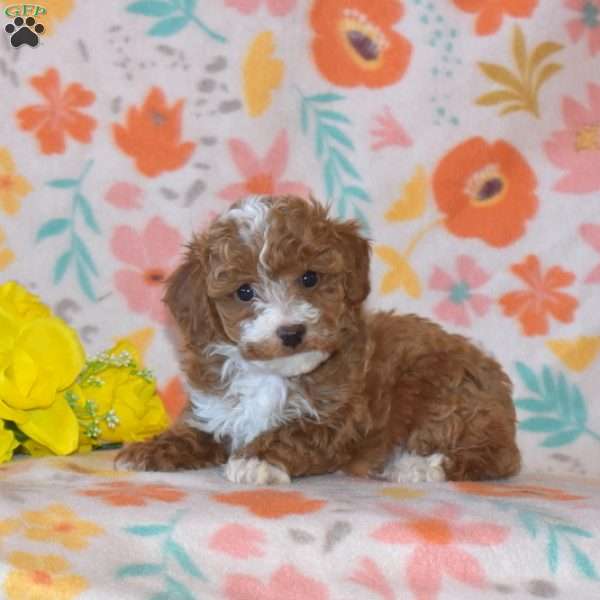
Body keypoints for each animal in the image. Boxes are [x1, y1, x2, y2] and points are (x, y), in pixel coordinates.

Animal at [117, 195, 520, 486]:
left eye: (309, 278)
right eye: (244, 292)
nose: (292, 332)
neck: (271, 373)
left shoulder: (338, 417)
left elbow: (294, 433)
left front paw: (255, 461)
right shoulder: (217, 410)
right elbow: (197, 432)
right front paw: (148, 450)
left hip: (444, 389)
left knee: (492, 457)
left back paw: (419, 467)